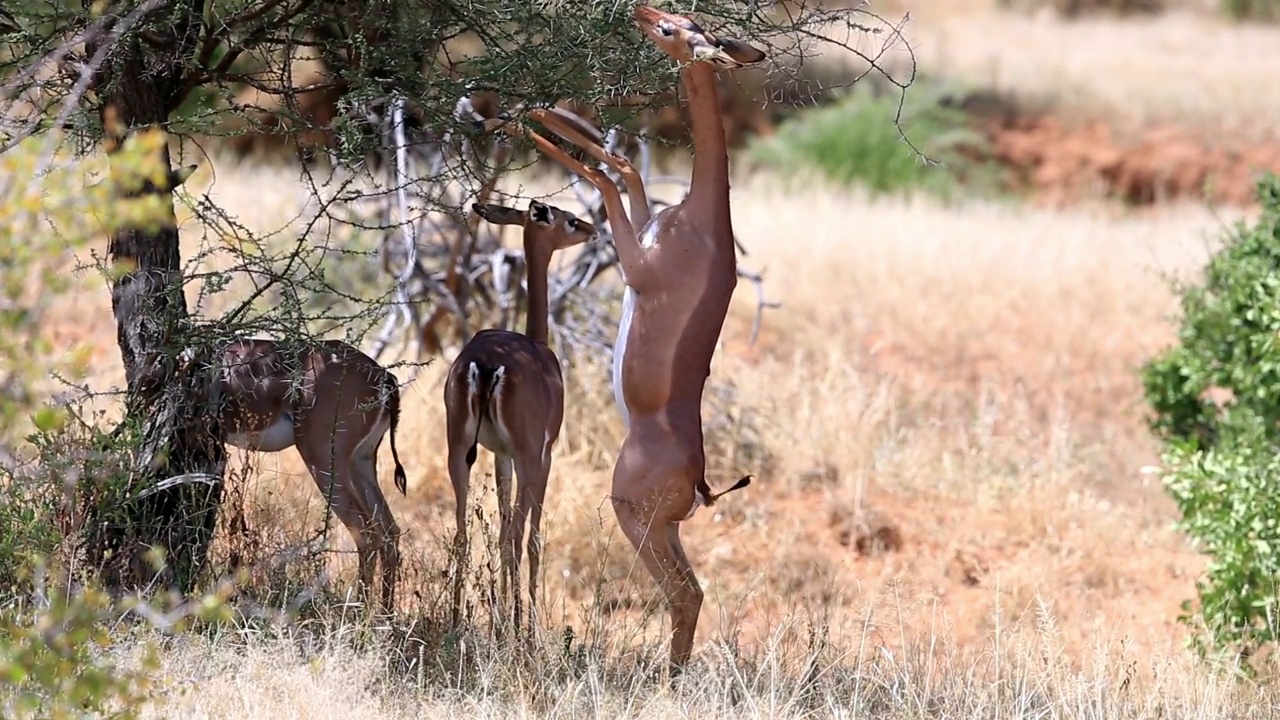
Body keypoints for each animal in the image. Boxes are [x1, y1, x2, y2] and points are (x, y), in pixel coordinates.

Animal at [212, 335, 407, 609]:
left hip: (323, 461)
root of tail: (383, 376)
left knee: (365, 533)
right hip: (361, 463)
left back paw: (359, 612)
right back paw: (384, 615)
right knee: (389, 530)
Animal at [442, 198, 596, 630]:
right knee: (518, 533)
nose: (593, 230)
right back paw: (515, 626)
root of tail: (486, 364)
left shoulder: (500, 456)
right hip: (528, 457)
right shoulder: (544, 454)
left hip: (459, 449)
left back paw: (457, 622)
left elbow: (500, 529)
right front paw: (522, 627)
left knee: (462, 533)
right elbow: (530, 537)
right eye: (570, 220)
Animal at [514, 5, 762, 671]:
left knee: (685, 595)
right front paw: (539, 115)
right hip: (665, 530)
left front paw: (534, 128)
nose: (643, 12)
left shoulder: (636, 265)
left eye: (676, 31)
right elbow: (623, 168)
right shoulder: (645, 219)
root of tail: (701, 484)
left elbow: (609, 173)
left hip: (634, 518)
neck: (700, 221)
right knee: (693, 593)